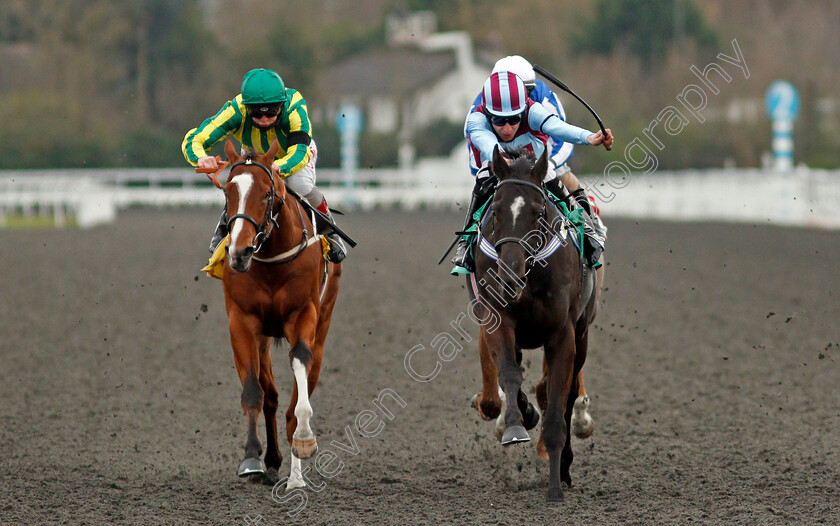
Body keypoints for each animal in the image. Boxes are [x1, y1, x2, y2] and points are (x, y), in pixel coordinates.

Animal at [210, 139, 342, 490]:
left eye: (267, 193)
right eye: (228, 192)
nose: (240, 252)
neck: (271, 257)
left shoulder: (303, 314)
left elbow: (299, 378)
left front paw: (303, 447)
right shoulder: (242, 321)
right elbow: (253, 391)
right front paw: (252, 459)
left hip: (323, 325)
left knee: (305, 380)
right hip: (264, 337)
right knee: (269, 394)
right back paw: (271, 459)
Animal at [470, 145, 600, 504]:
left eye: (538, 211)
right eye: (496, 211)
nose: (509, 274)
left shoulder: (562, 334)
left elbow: (558, 402)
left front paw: (556, 484)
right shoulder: (498, 320)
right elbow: (510, 375)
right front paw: (516, 424)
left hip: (583, 333)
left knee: (567, 395)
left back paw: (565, 466)